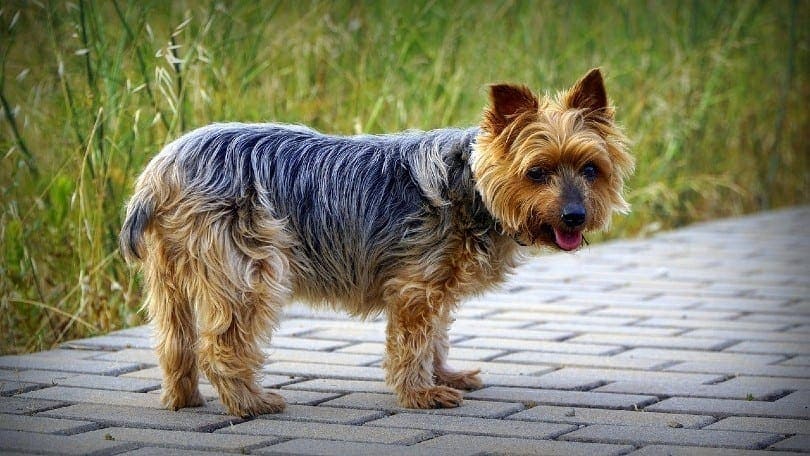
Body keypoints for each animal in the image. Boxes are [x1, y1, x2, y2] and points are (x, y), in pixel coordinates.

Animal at [118, 67, 632, 416]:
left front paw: (446, 376)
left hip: (170, 271)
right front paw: (422, 394)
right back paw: (250, 403)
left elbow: (437, 337)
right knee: (221, 344)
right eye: (537, 172)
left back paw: (183, 399)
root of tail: (159, 172)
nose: (575, 215)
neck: (473, 186)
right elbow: (413, 343)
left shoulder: (436, 285)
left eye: (591, 169)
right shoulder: (415, 287)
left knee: (174, 340)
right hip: (248, 270)